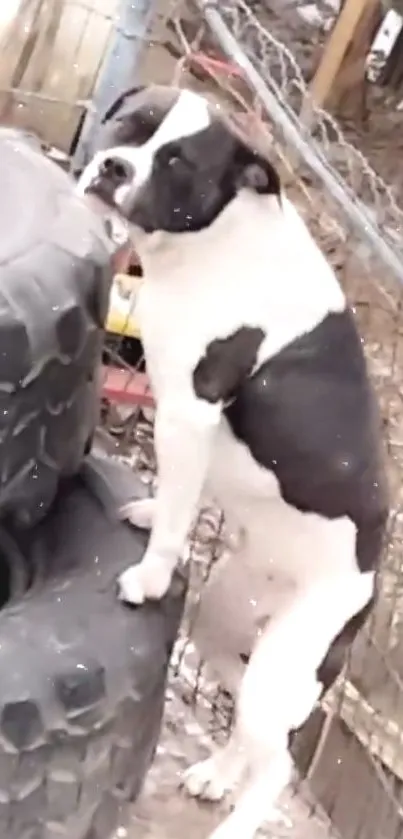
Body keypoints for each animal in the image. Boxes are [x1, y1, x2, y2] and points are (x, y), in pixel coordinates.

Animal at [76, 83, 388, 839]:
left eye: (178, 162)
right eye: (131, 126)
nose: (115, 168)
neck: (216, 241)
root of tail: (369, 589)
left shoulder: (189, 414)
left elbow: (178, 514)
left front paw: (149, 577)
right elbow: (176, 501)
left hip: (283, 670)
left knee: (276, 765)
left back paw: (237, 821)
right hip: (226, 621)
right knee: (251, 732)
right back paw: (218, 773)